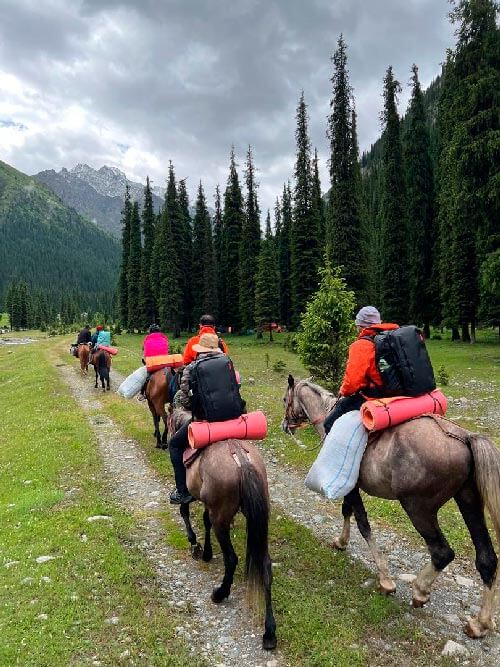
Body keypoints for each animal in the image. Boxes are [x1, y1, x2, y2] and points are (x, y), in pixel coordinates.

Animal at [170, 404, 276, 648]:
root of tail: (242, 461)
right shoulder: (209, 505)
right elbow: (204, 520)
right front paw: (207, 552)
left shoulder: (192, 495)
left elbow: (185, 511)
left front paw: (196, 545)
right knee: (265, 564)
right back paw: (269, 632)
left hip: (222, 519)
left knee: (232, 558)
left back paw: (220, 593)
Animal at [282, 376, 500, 640]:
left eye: (285, 399)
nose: (285, 426)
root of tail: (465, 437)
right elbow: (348, 512)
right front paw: (341, 542)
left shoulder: (351, 486)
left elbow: (362, 523)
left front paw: (385, 580)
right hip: (469, 501)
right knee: (487, 558)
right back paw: (480, 623)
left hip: (418, 508)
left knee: (442, 552)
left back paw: (420, 590)